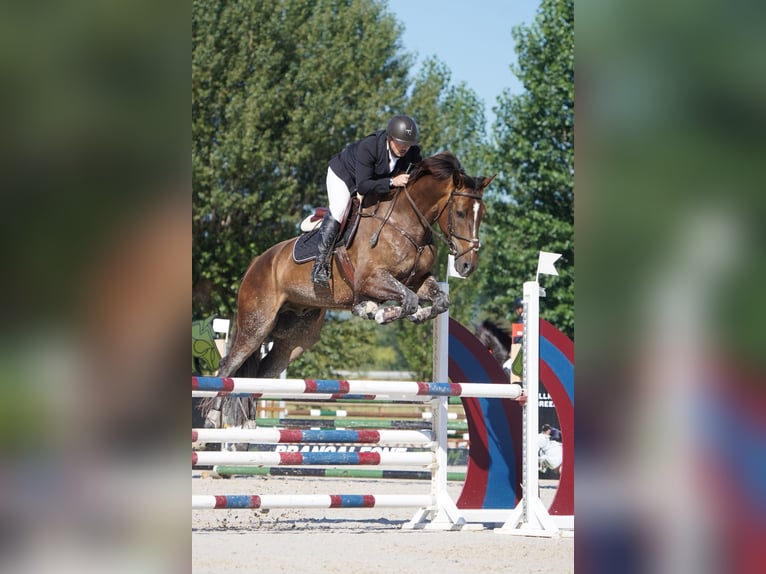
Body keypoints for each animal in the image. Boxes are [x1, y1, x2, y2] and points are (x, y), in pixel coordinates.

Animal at [201, 152, 496, 428]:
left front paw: (408, 314)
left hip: (295, 339)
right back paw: (213, 420)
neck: (405, 223)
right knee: (228, 366)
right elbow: (408, 300)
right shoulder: (370, 280)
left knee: (259, 375)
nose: (467, 265)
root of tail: (256, 263)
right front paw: (377, 312)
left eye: (482, 214)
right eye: (460, 212)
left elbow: (439, 301)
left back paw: (248, 428)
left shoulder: (418, 280)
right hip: (258, 323)